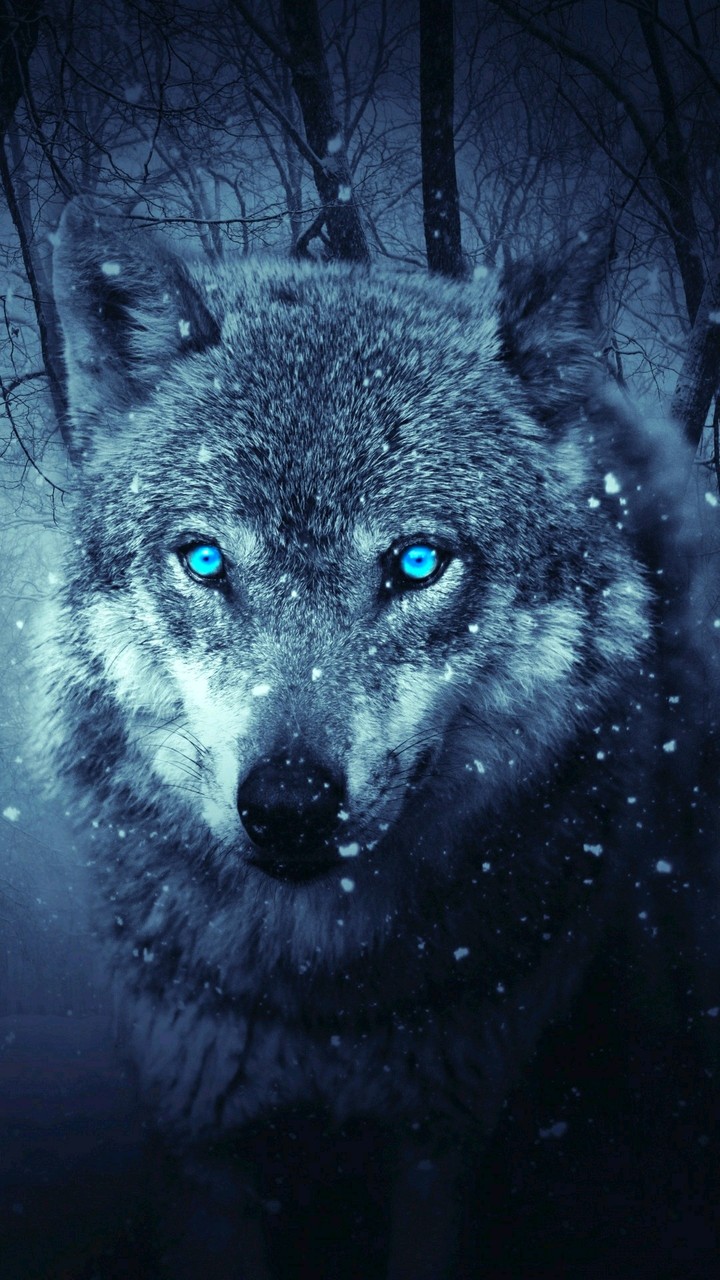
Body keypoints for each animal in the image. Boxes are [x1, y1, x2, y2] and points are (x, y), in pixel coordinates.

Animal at [39, 198, 718, 1278]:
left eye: (416, 562)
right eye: (205, 560)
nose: (289, 804)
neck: (324, 998)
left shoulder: (444, 1138)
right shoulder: (203, 1143)